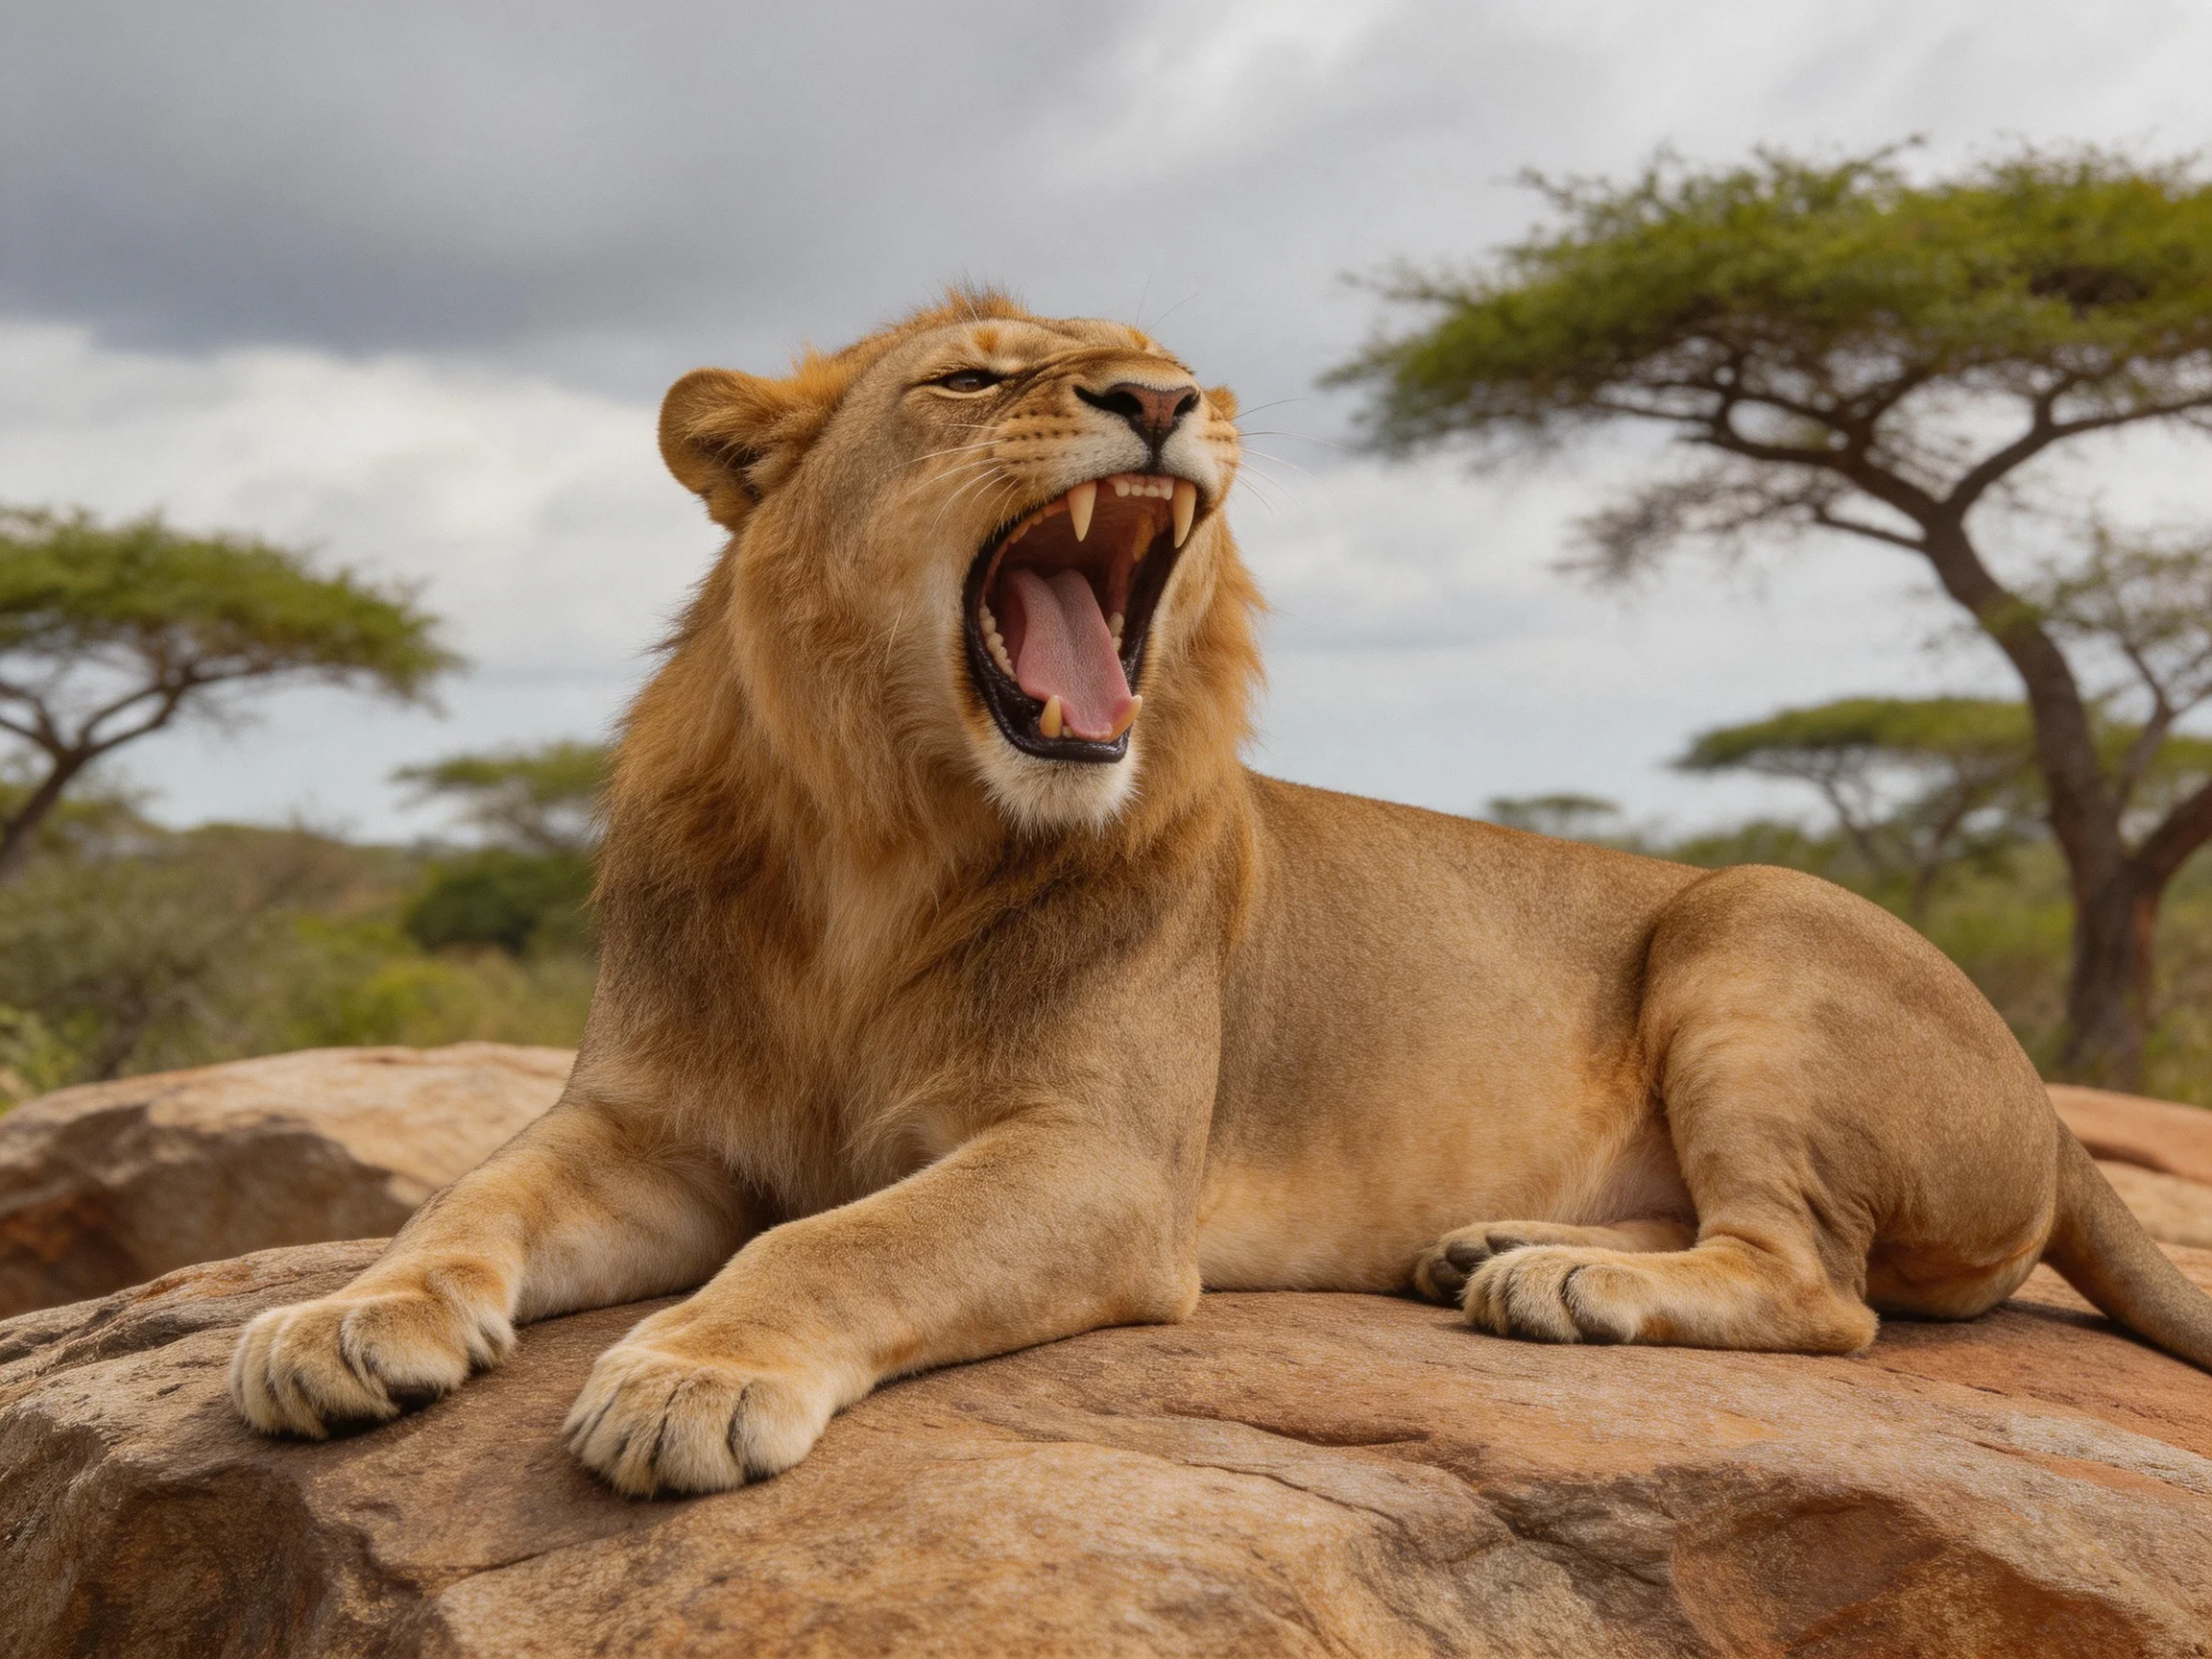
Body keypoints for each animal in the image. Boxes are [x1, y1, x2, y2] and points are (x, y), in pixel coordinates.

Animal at [231, 289, 2212, 1496]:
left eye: (1155, 358)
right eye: (970, 376)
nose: (1164, 401)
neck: (880, 835)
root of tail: (2050, 1112)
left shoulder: (1095, 1166)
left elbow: (837, 1237)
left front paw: (688, 1372)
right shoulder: (648, 1121)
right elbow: (462, 1199)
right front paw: (336, 1320)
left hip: (1751, 918)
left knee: (1822, 1286)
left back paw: (1562, 1284)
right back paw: (1497, 1243)